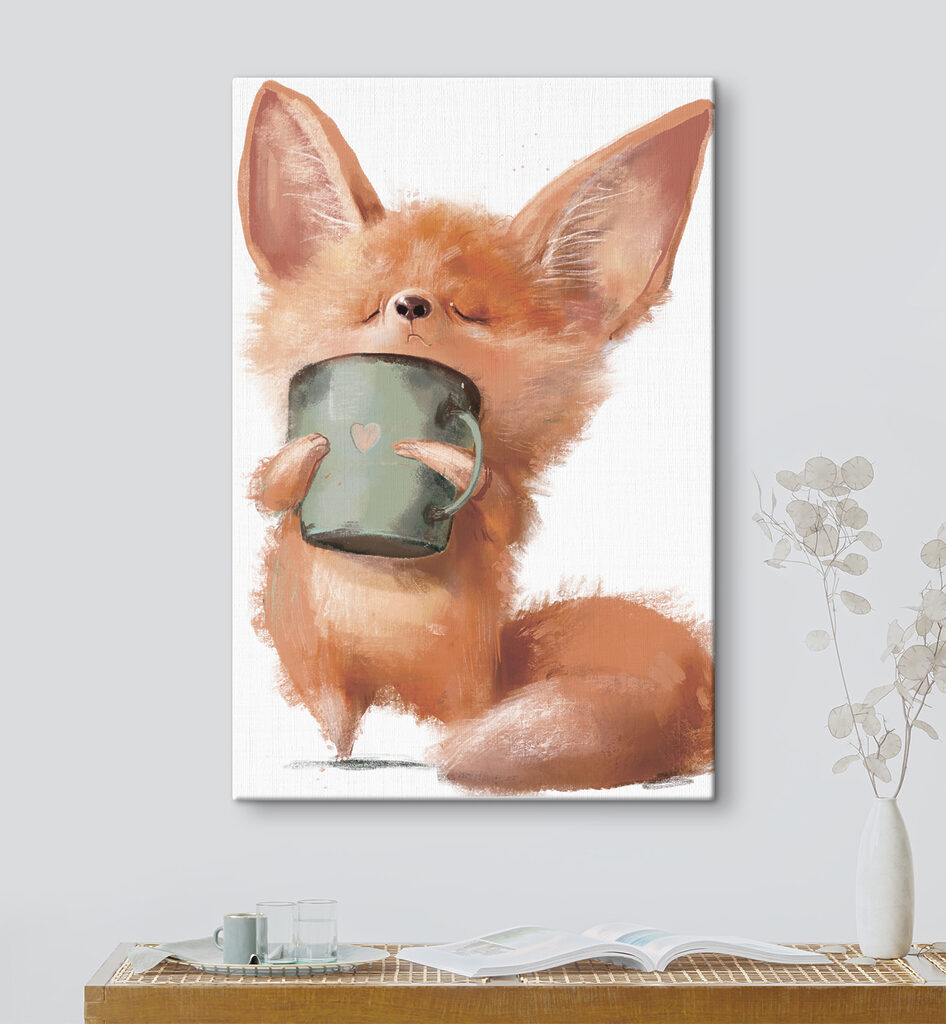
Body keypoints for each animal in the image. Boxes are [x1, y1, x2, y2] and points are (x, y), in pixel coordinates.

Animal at [238, 80, 714, 794]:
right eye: (367, 306)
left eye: (470, 312)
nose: (411, 303)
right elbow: (268, 490)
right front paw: (308, 452)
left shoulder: (506, 503)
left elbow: (505, 507)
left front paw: (449, 460)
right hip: (321, 674)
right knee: (339, 726)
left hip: (463, 691)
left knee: (450, 723)